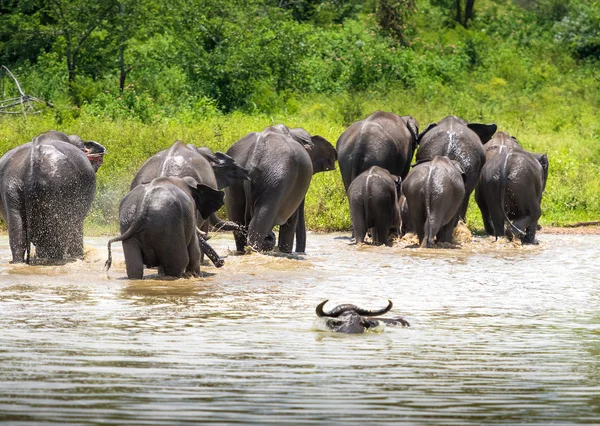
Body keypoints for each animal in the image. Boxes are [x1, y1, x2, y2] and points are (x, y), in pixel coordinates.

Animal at [225, 125, 338, 255]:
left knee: (238, 224)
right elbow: (291, 221)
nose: (300, 252)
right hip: (276, 182)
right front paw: (286, 252)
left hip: (234, 185)